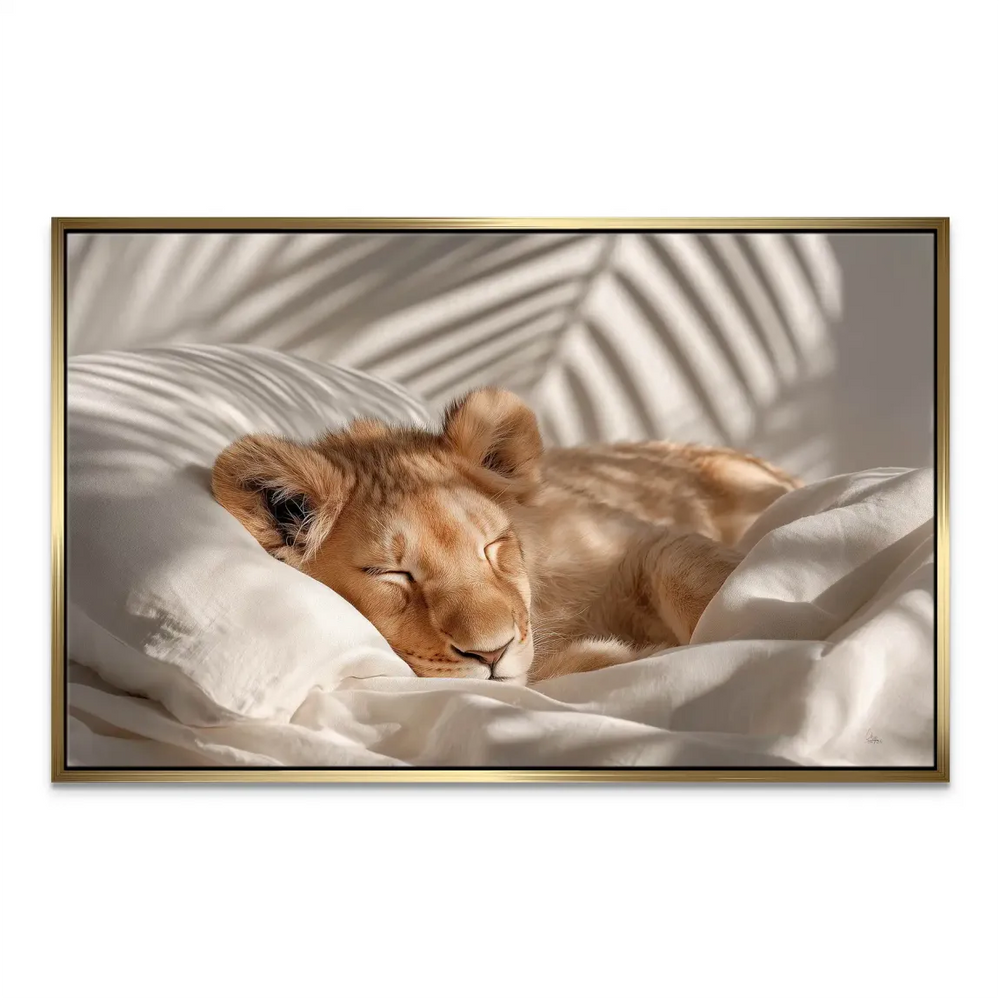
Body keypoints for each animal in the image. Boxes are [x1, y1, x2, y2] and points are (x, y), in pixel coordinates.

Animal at [211, 387, 800, 685]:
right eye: (391, 573)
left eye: (492, 546)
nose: (490, 653)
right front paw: (628, 656)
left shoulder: (630, 538)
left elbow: (682, 564)